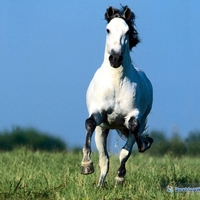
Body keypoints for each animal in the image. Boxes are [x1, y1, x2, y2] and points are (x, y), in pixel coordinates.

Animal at [80, 5, 152, 187]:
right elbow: (89, 123)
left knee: (126, 148)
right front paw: (86, 165)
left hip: (138, 121)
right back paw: (100, 185)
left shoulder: (134, 115)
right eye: (108, 30)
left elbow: (131, 135)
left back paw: (119, 179)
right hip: (103, 130)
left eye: (127, 31)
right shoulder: (98, 113)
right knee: (104, 159)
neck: (116, 82)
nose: (115, 58)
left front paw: (144, 144)